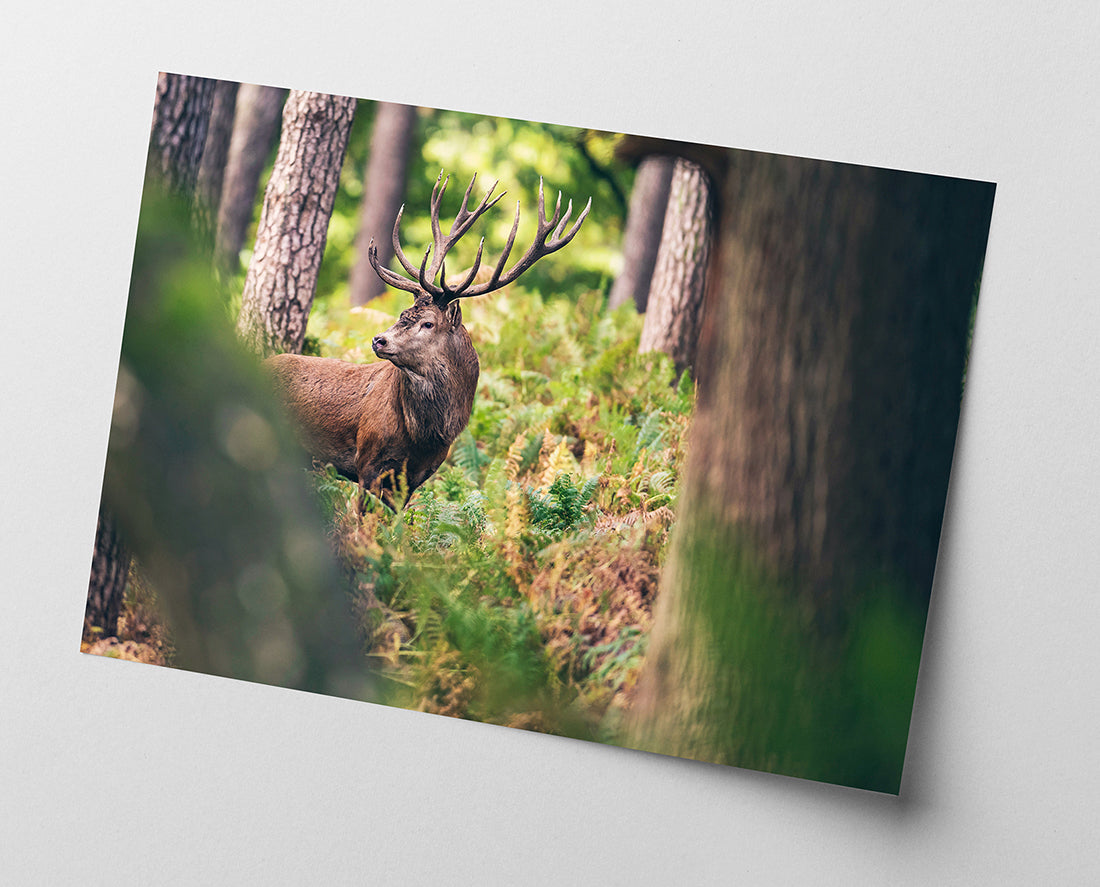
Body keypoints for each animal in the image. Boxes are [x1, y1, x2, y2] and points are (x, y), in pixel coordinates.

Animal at [266, 171, 590, 511]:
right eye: (402, 313)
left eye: (428, 323)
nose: (379, 340)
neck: (423, 438)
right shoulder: (366, 462)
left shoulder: (415, 478)